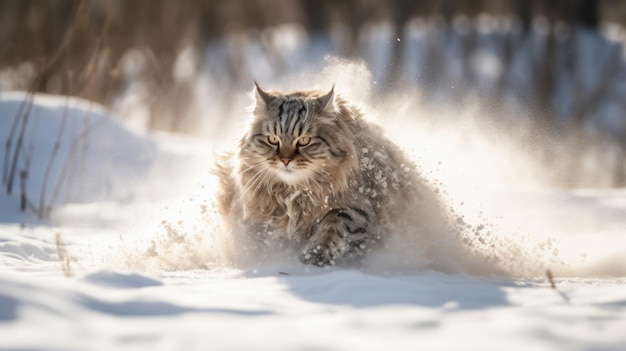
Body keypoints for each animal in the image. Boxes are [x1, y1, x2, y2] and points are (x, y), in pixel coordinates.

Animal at [217, 84, 446, 268]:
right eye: (273, 139)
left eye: (304, 141)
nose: (285, 160)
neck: (295, 192)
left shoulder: (355, 208)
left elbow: (333, 228)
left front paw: (315, 255)